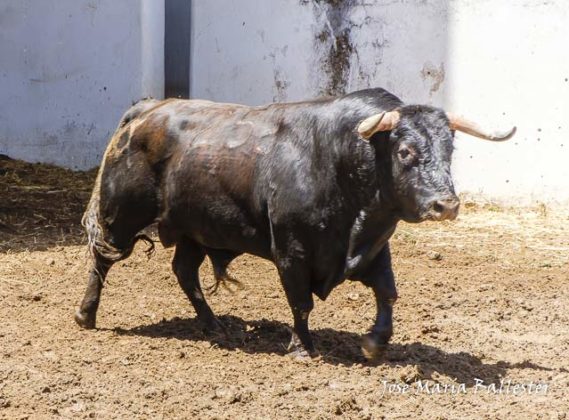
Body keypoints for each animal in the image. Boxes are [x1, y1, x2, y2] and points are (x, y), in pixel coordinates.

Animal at [74, 88, 516, 358]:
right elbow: (301, 302)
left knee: (185, 272)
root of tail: (147, 109)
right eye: (405, 151)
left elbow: (387, 293)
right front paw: (302, 347)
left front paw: (376, 342)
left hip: (194, 230)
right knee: (102, 260)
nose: (447, 205)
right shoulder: (292, 250)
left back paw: (213, 325)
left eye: (449, 148)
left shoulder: (375, 249)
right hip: (121, 215)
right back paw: (86, 315)